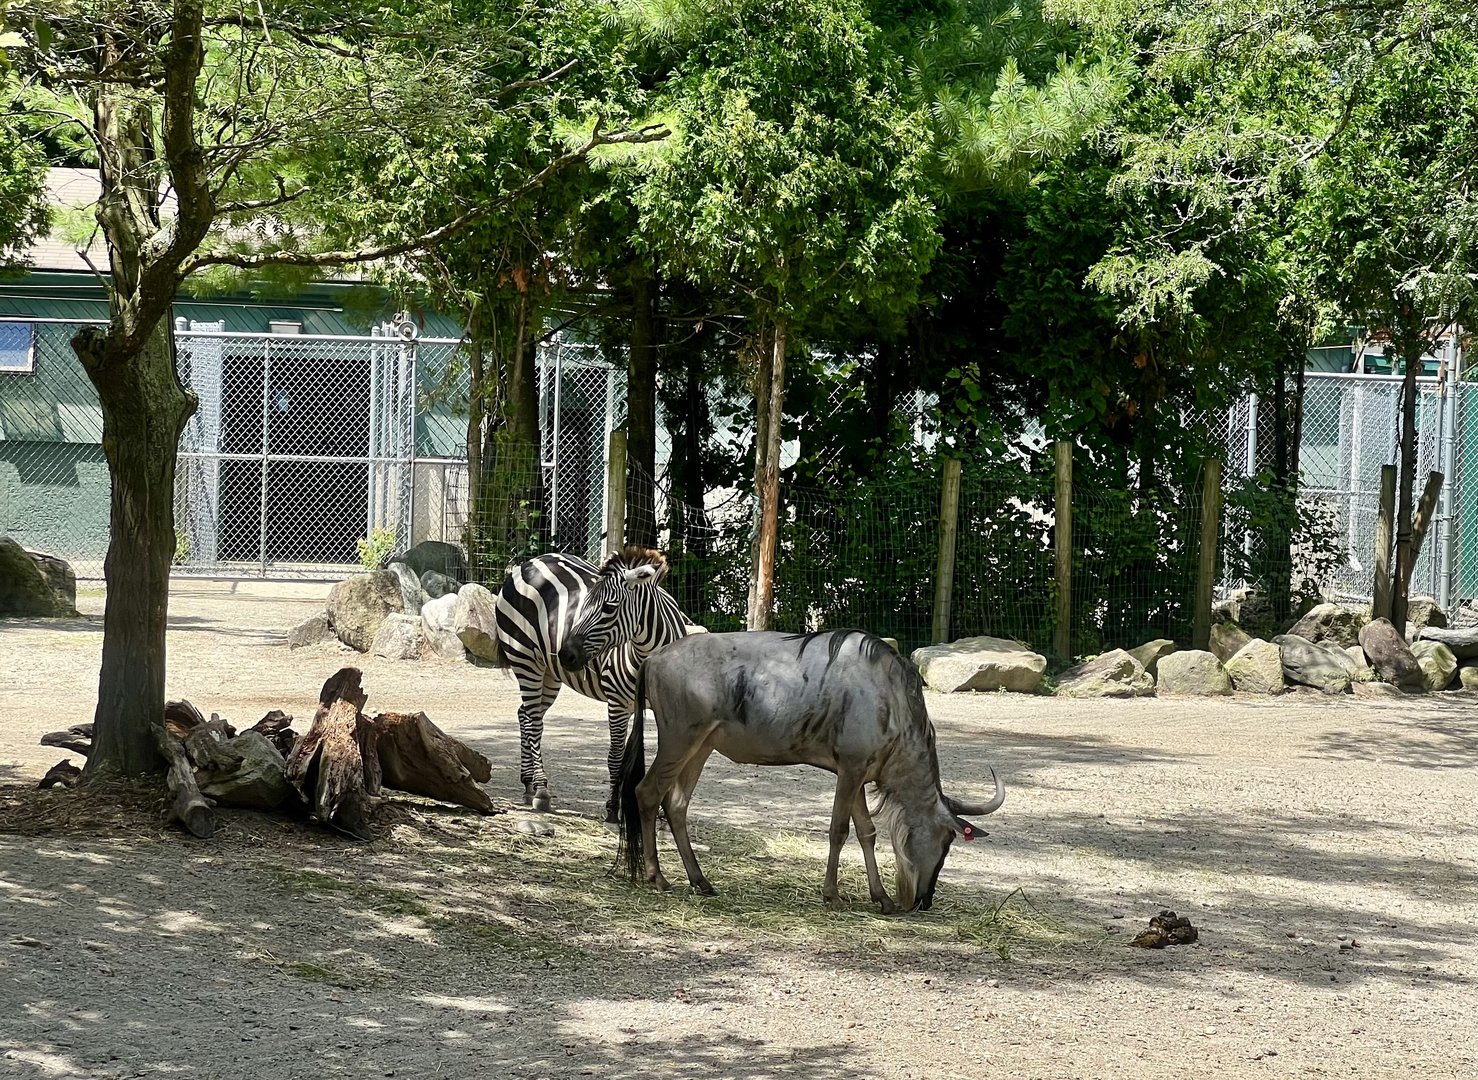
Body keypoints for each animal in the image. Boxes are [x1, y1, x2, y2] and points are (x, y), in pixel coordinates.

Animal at [493, 546, 691, 821]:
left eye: (609, 607)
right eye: (583, 604)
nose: (566, 655)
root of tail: (529, 562)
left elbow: (669, 759)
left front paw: (661, 815)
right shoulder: (617, 703)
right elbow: (616, 757)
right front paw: (613, 809)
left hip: (550, 673)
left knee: (525, 714)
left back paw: (528, 783)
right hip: (525, 659)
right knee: (534, 722)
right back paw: (541, 790)